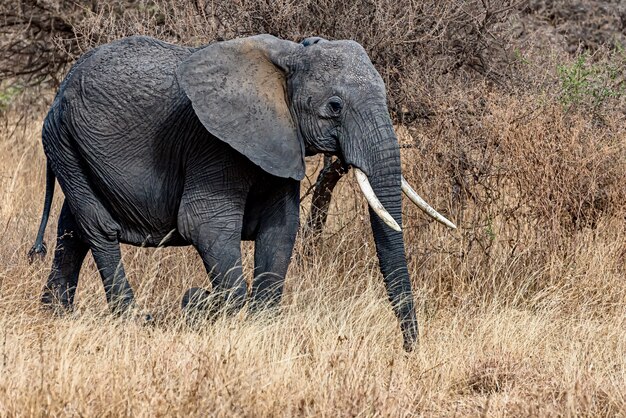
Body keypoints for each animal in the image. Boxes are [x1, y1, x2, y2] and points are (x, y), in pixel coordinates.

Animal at [29, 34, 454, 352]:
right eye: (334, 106)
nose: (409, 350)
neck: (288, 58)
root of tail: (62, 86)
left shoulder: (279, 138)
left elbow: (281, 227)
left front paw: (257, 324)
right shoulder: (212, 143)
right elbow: (206, 225)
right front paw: (209, 307)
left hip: (70, 145)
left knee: (72, 228)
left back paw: (55, 314)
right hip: (61, 138)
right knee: (98, 226)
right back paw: (133, 319)